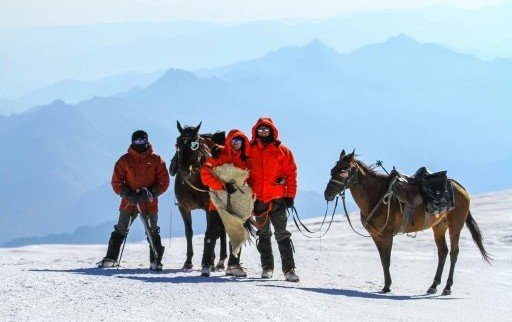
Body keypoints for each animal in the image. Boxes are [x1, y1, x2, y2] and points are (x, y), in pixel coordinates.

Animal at [174, 121, 226, 270]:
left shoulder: (209, 208)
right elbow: (188, 232)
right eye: (178, 143)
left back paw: (221, 260)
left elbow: (210, 232)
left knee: (222, 230)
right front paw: (188, 262)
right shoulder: (183, 208)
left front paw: (207, 261)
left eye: (195, 144)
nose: (184, 171)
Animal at [324, 150, 492, 294]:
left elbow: (387, 260)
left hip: (455, 226)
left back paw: (447, 287)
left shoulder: (387, 235)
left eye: (344, 171)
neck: (376, 196)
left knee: (454, 253)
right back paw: (433, 285)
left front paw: (387, 286)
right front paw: (386, 285)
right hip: (439, 227)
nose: (327, 194)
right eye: (332, 170)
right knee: (442, 252)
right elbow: (383, 260)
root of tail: (462, 188)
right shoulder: (376, 236)